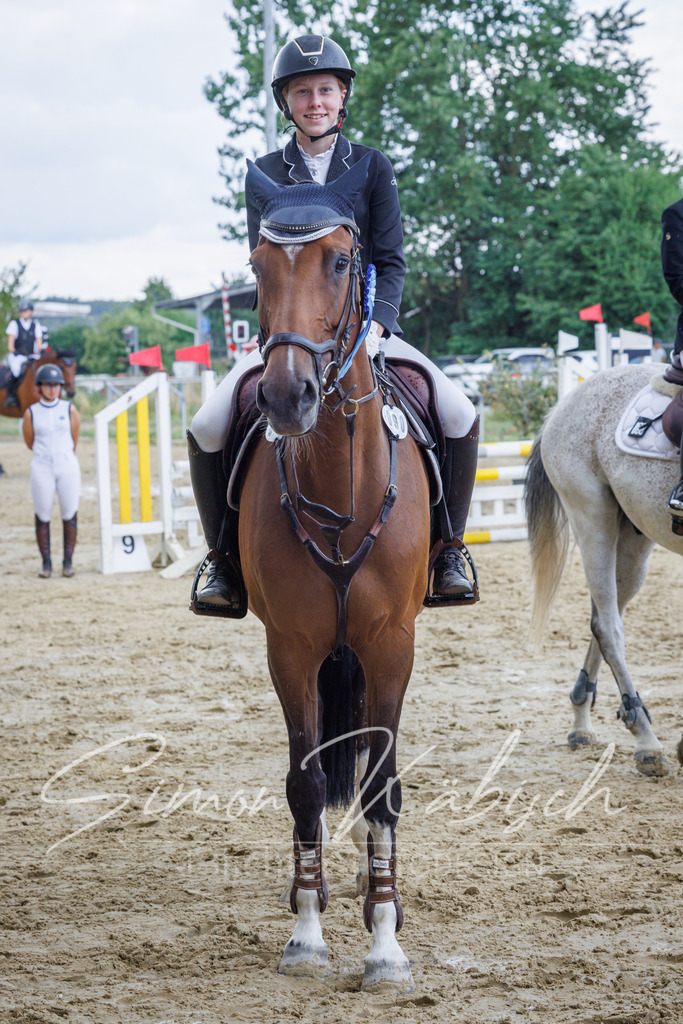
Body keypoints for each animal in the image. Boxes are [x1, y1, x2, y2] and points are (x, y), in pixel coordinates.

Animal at [524, 361, 683, 778]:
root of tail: (564, 404)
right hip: (592, 517)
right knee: (608, 626)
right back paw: (645, 740)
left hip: (634, 537)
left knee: (602, 616)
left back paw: (581, 720)